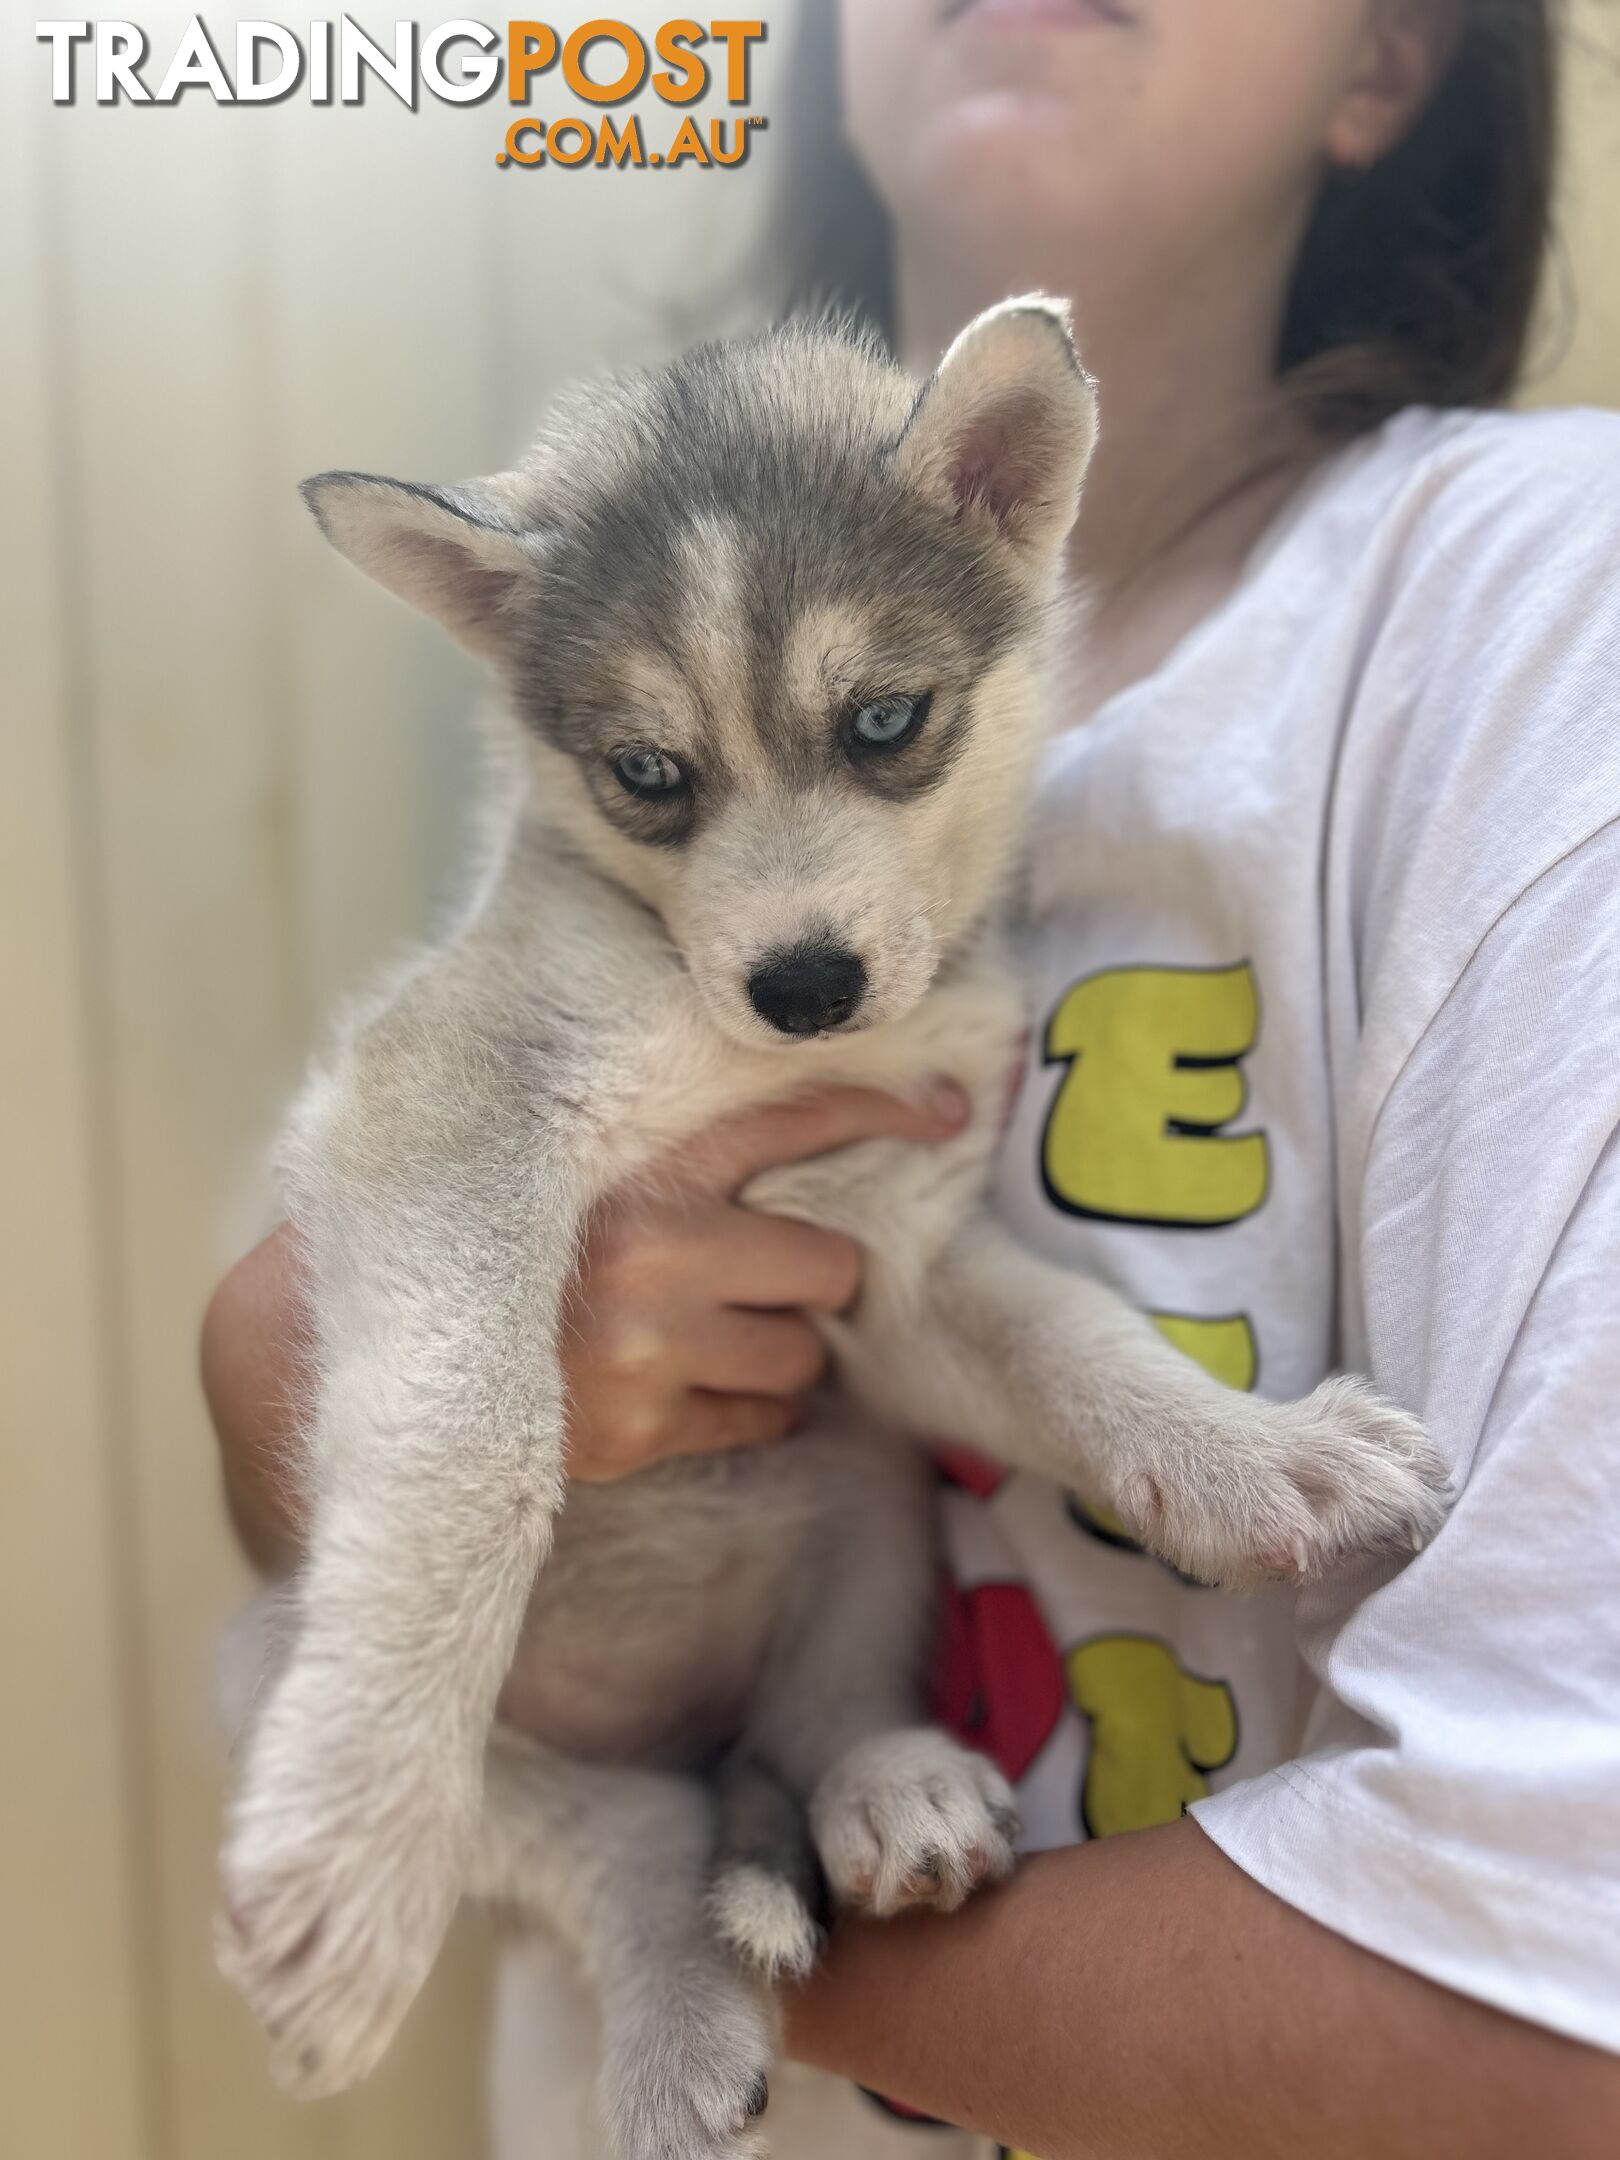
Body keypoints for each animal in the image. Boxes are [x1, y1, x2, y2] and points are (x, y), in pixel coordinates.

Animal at [216, 304, 1442, 2160]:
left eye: (884, 721)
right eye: (650, 775)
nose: (804, 984)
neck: (750, 1054)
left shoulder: (889, 1259)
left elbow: (1071, 1341)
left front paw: (1256, 1457)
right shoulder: (448, 1106)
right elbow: (473, 1444)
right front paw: (358, 1832)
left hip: (864, 1508)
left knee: (788, 1744)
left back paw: (895, 1797)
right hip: (261, 1658)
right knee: (632, 1830)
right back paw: (643, 1996)